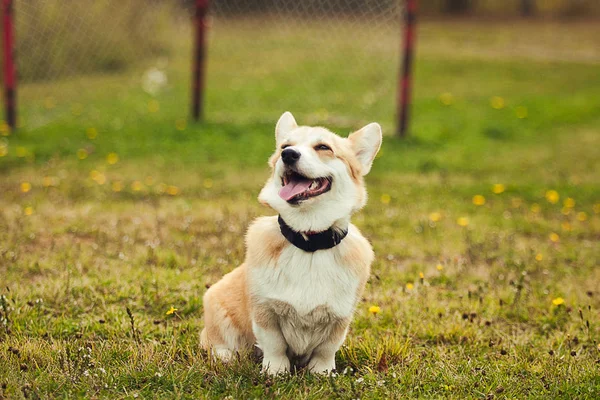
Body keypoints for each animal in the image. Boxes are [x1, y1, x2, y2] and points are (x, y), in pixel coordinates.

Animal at [200, 111, 380, 374]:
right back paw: (227, 356)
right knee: (216, 342)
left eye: (323, 147)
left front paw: (322, 373)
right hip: (216, 303)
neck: (309, 243)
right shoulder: (265, 311)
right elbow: (274, 345)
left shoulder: (340, 318)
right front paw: (275, 372)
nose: (289, 155)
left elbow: (327, 349)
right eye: (285, 146)